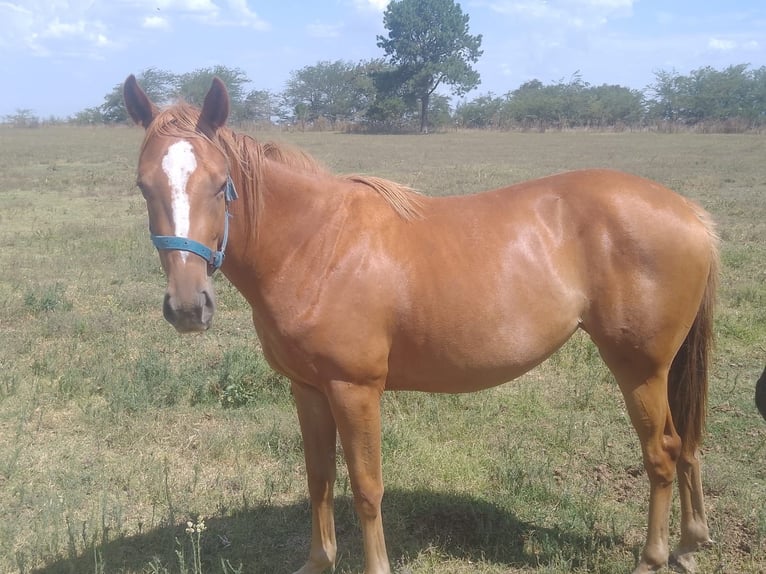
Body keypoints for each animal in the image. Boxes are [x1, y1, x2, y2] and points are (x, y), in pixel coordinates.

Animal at [121, 77, 720, 574]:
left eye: (221, 183)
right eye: (144, 185)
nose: (188, 306)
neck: (316, 244)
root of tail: (689, 213)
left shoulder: (355, 390)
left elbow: (367, 488)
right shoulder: (307, 388)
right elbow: (319, 478)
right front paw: (318, 562)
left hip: (640, 368)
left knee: (662, 453)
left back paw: (654, 557)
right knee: (686, 444)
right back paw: (691, 543)